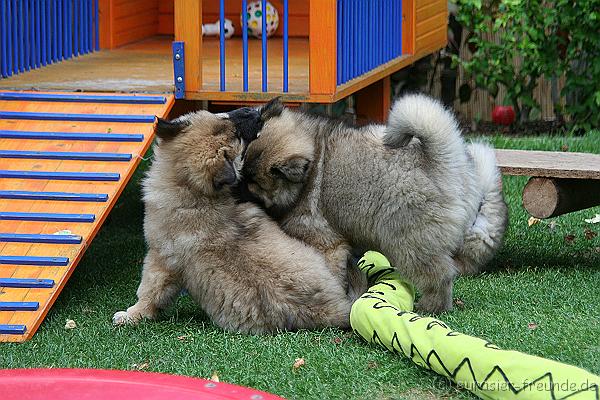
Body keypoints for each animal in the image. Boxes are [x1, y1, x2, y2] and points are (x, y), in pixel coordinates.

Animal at [112, 108, 358, 332]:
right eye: (223, 117)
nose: (254, 112)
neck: (189, 188)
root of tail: (334, 309)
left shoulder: (159, 258)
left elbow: (149, 290)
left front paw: (132, 314)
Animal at [241, 95, 508, 314]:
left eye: (255, 183)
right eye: (243, 166)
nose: (238, 182)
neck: (312, 163)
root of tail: (439, 163)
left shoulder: (326, 244)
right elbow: (352, 272)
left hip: (409, 243)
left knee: (439, 277)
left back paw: (430, 307)